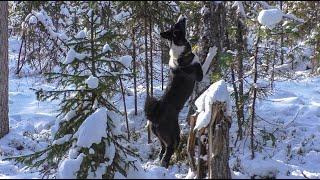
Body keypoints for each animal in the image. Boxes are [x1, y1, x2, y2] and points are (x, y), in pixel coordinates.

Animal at [144, 15, 204, 169]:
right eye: (179, 25)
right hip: (172, 135)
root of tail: (155, 116)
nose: (182, 16)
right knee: (168, 151)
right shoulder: (198, 75)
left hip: (159, 137)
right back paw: (165, 166)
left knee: (162, 150)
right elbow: (202, 63)